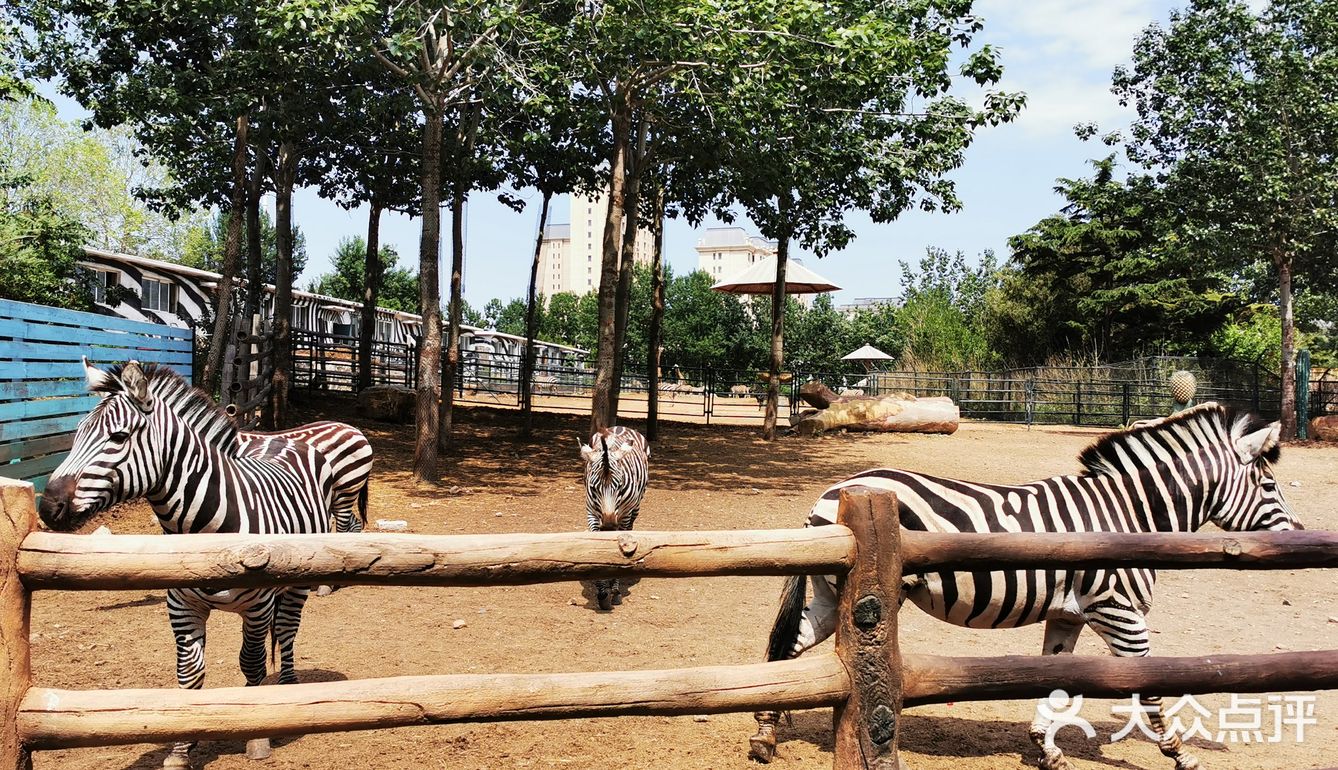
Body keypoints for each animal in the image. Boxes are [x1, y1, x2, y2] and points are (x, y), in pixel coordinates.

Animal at [38, 364, 339, 770]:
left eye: (118, 437)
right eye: (76, 435)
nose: (47, 508)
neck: (202, 528)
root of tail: (283, 440)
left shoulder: (258, 608)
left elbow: (253, 664)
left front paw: (257, 736)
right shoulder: (182, 606)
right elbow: (189, 674)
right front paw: (181, 747)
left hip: (299, 582)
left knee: (287, 633)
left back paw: (286, 694)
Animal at [580, 425, 652, 610]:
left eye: (619, 486)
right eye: (593, 487)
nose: (608, 526)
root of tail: (619, 427)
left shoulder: (624, 516)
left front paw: (615, 590)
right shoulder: (591, 513)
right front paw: (602, 591)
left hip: (636, 507)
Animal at [754, 404, 1305, 770]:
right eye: (1270, 486)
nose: (1300, 537)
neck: (1128, 516)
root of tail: (835, 490)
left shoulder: (1069, 614)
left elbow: (1054, 680)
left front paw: (1047, 748)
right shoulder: (1119, 610)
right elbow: (1148, 685)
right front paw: (1180, 754)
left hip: (830, 595)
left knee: (787, 650)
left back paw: (764, 736)